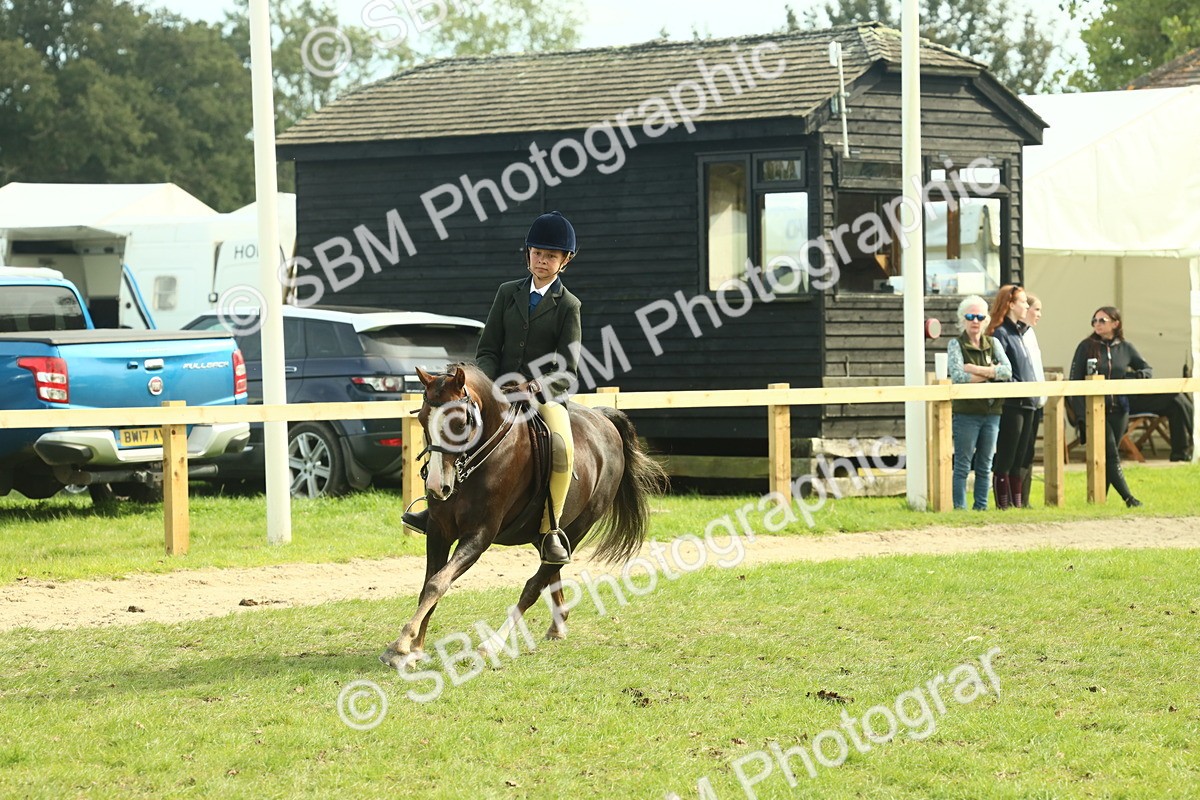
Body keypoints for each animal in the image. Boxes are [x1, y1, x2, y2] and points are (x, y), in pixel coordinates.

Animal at [380, 363, 665, 668]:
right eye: (423, 419)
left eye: (459, 424)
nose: (436, 485)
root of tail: (603, 419)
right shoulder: (438, 530)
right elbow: (428, 585)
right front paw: (414, 648)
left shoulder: (479, 536)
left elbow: (437, 584)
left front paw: (400, 646)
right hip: (541, 534)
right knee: (552, 568)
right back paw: (558, 625)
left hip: (579, 527)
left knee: (535, 584)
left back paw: (493, 643)